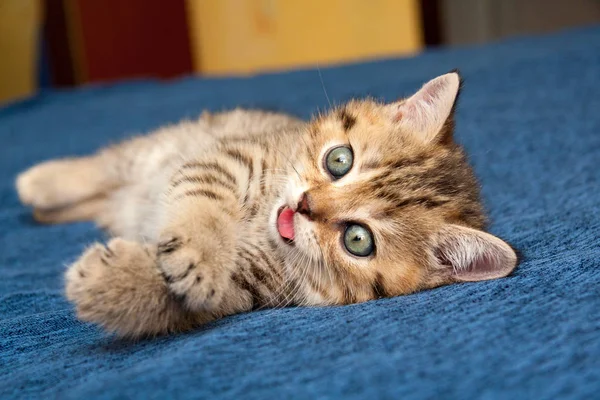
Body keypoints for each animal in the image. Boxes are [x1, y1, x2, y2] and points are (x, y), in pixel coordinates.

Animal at [16, 72, 516, 338]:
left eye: (358, 239)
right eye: (339, 160)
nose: (305, 205)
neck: (261, 222)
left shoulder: (250, 288)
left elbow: (184, 302)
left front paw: (111, 283)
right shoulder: (226, 159)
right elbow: (202, 206)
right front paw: (197, 252)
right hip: (159, 149)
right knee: (107, 165)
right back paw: (39, 183)